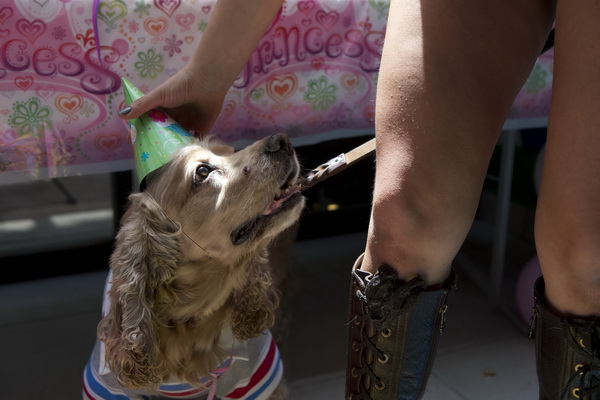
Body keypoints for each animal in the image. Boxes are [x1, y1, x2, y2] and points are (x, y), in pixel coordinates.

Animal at [82, 79, 302, 400]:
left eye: (229, 151)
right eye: (202, 171)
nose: (282, 140)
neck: (190, 315)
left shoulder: (257, 379)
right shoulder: (108, 387)